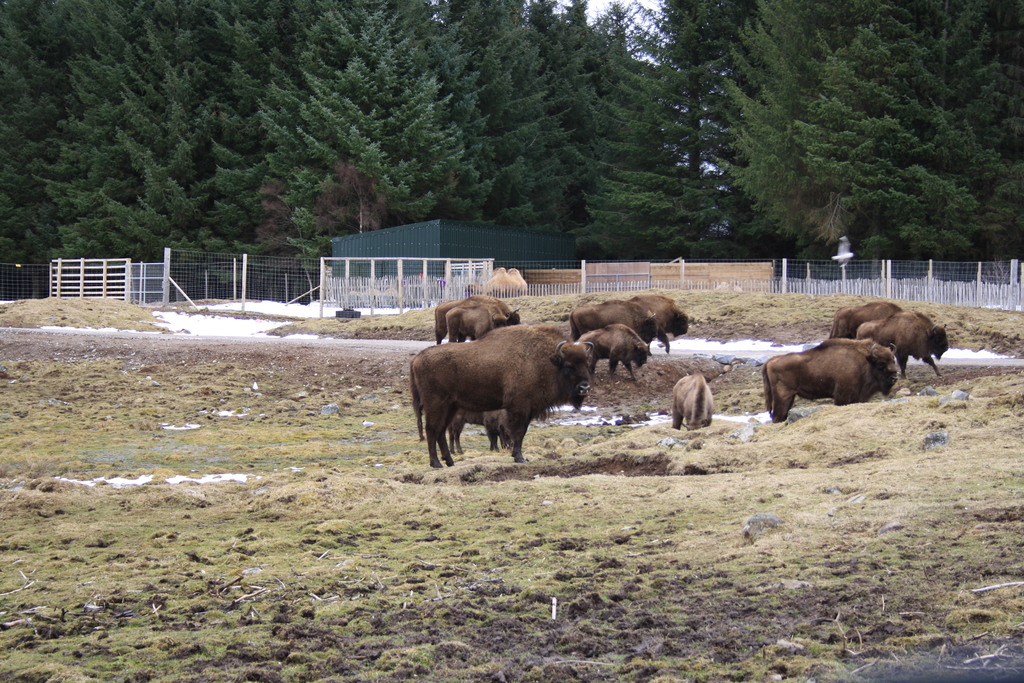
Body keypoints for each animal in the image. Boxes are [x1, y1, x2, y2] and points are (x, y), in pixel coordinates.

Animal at [410, 325, 593, 468]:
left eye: (587, 363)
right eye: (569, 365)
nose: (584, 387)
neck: (546, 360)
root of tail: (417, 359)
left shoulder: (527, 410)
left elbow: (520, 433)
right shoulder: (519, 407)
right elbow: (518, 433)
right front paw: (519, 458)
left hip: (451, 407)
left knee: (440, 431)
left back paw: (449, 461)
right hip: (436, 405)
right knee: (431, 429)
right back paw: (436, 463)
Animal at [762, 338, 900, 423]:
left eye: (893, 360)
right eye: (881, 364)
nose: (894, 377)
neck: (865, 361)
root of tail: (770, 361)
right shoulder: (842, 395)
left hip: (790, 397)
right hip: (783, 396)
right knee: (778, 415)